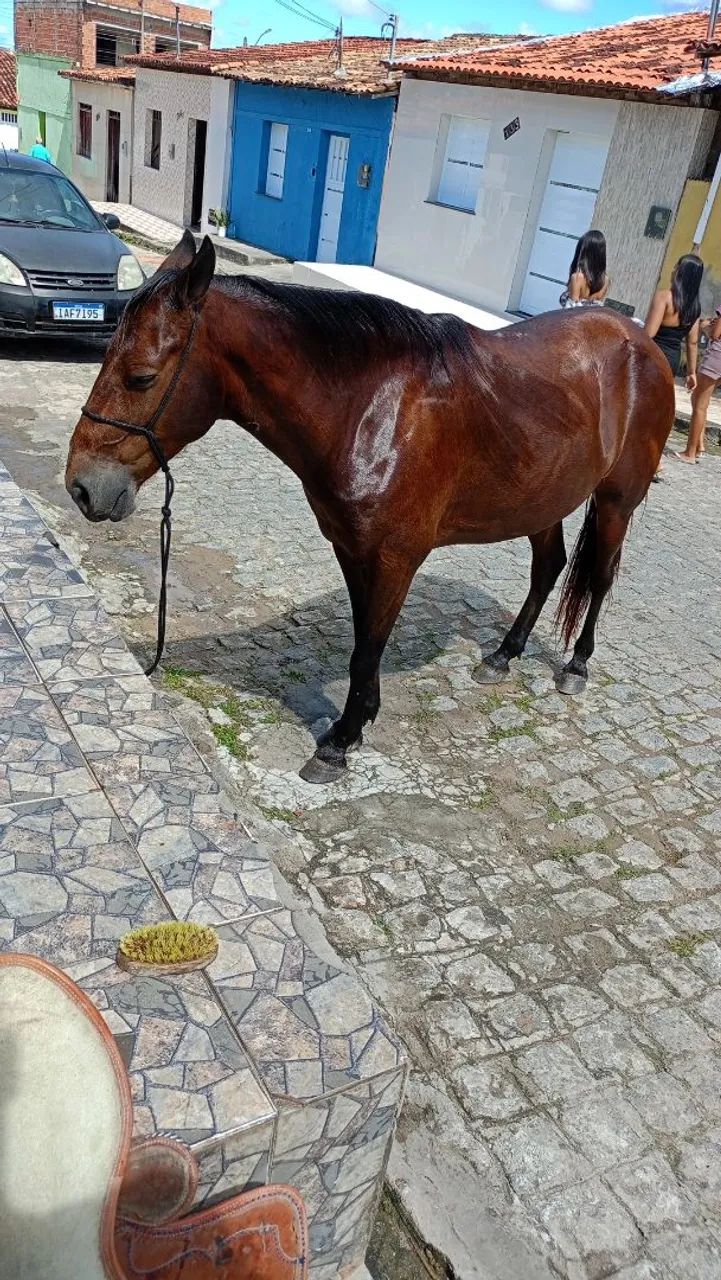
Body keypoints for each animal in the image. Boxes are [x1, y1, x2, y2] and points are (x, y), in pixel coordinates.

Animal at [65, 232, 675, 785]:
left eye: (141, 376)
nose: (82, 487)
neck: (373, 408)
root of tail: (639, 342)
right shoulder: (352, 549)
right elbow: (364, 640)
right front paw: (360, 720)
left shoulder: (393, 559)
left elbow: (368, 648)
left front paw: (339, 741)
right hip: (541, 500)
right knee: (547, 568)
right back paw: (504, 655)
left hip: (616, 502)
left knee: (598, 576)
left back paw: (576, 666)